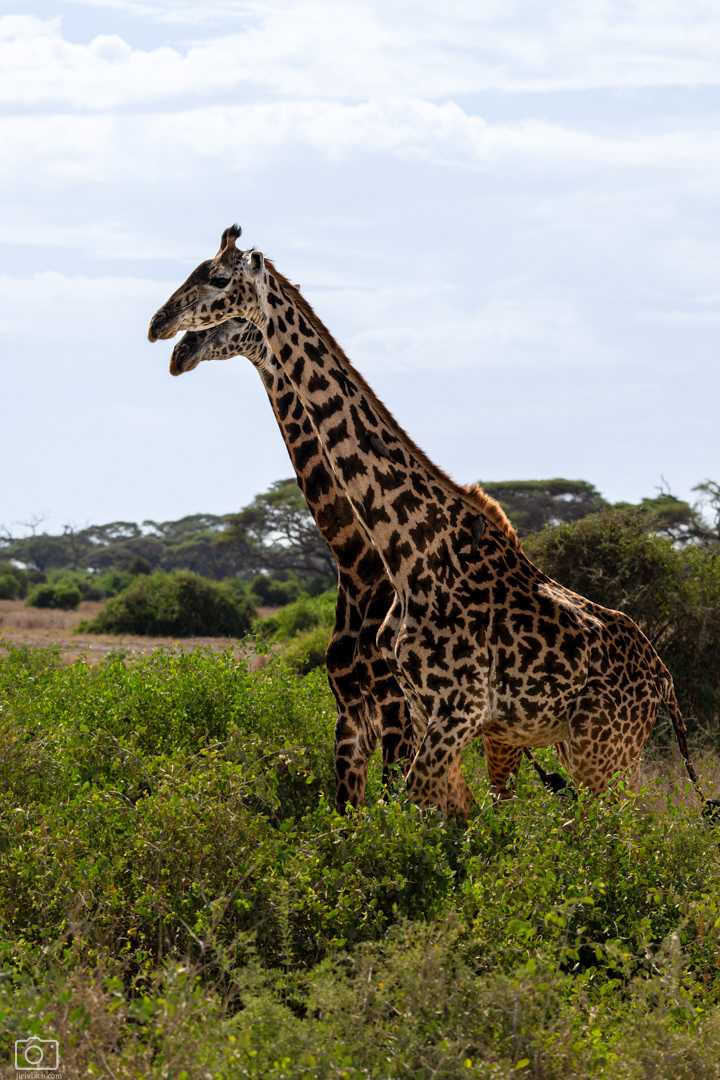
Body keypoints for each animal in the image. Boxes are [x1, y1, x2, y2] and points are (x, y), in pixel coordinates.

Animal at [169, 316, 525, 816]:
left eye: (226, 321)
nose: (181, 355)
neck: (356, 563)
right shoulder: (350, 714)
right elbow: (348, 813)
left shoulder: (397, 712)